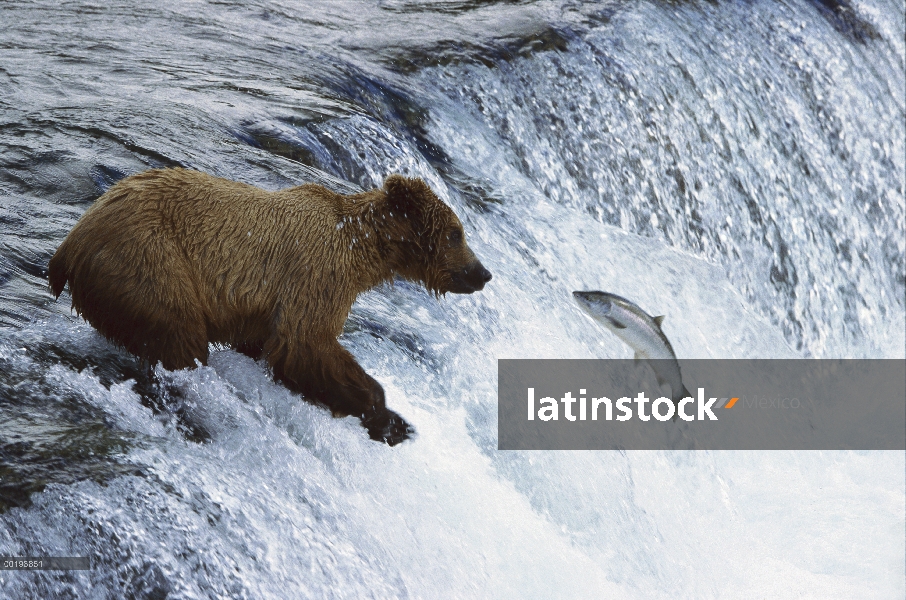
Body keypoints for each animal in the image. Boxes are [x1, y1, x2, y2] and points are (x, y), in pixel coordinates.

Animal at [47, 169, 488, 446]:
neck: (361, 249)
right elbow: (305, 344)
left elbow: (273, 348)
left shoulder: (261, 311)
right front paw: (390, 419)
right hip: (150, 261)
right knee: (180, 339)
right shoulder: (316, 273)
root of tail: (71, 242)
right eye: (456, 233)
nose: (482, 273)